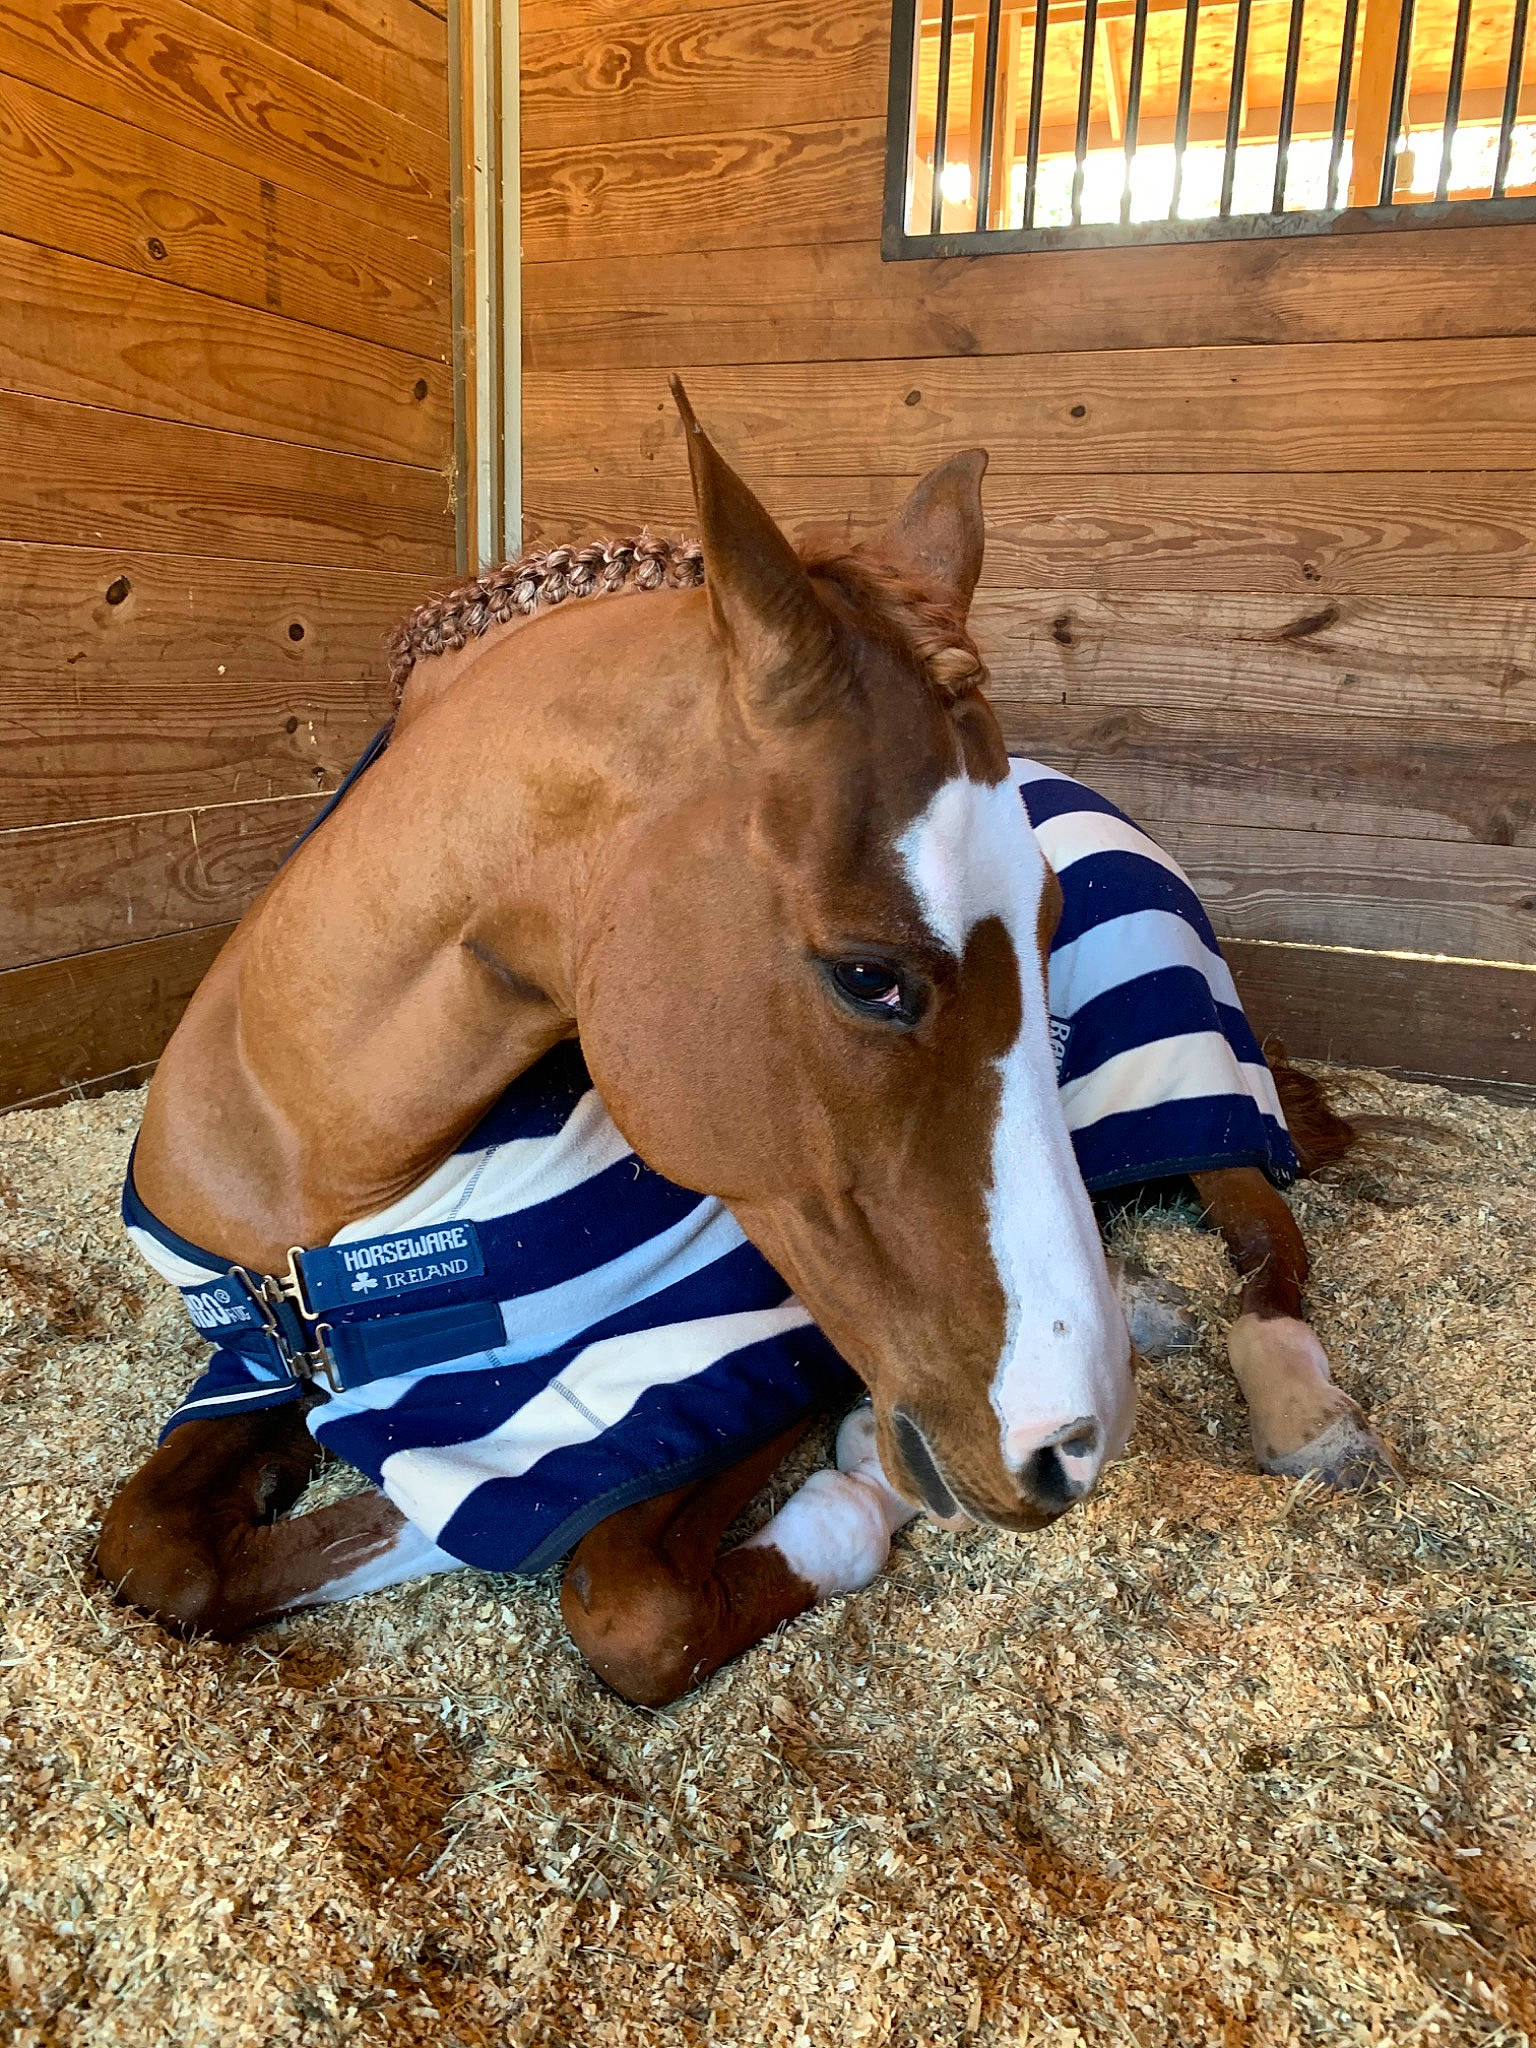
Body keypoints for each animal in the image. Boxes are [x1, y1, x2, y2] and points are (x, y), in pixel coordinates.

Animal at [98, 383, 1395, 1706]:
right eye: (869, 974)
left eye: (1050, 924)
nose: (1071, 1440)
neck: (304, 1151)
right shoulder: (271, 1370)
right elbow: (159, 1555)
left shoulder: (722, 1355)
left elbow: (629, 1601)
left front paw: (863, 1479)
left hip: (1177, 1061)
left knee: (1262, 1223)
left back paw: (1303, 1409)